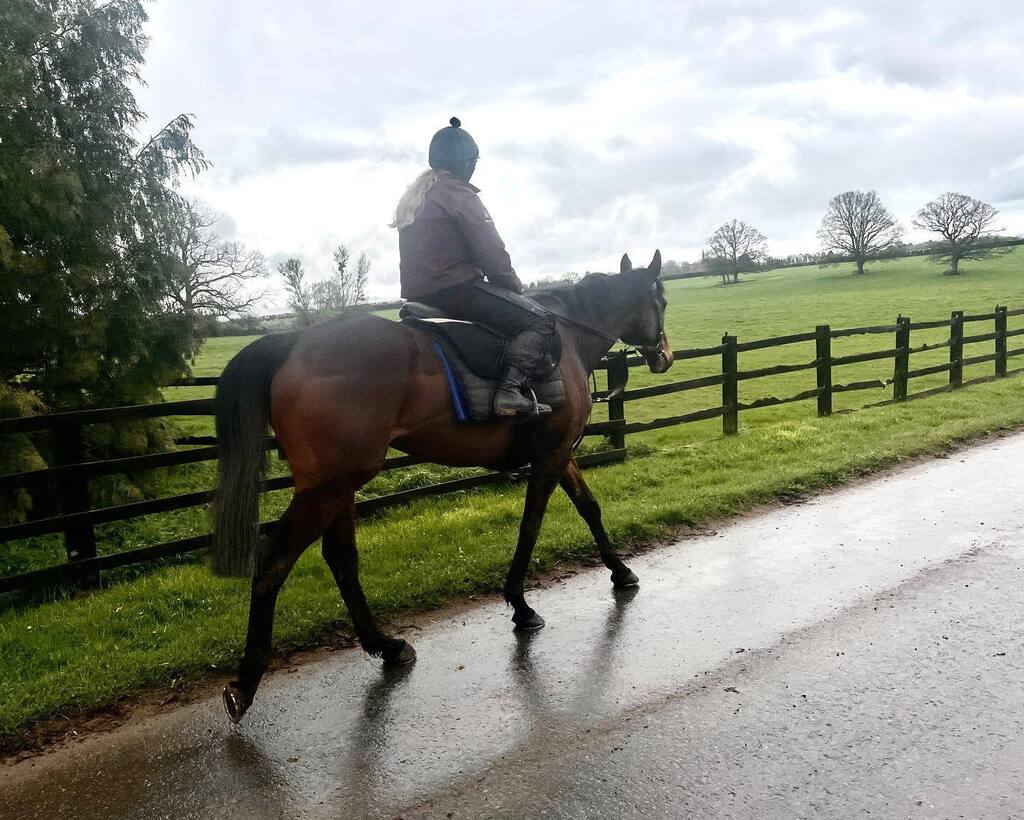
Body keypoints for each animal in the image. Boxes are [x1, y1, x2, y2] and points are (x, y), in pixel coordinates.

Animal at [209, 246, 671, 720]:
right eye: (663, 302)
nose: (664, 356)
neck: (570, 336)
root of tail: (293, 342)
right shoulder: (551, 456)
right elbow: (531, 527)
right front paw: (520, 605)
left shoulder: (559, 454)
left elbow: (589, 507)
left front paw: (620, 571)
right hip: (327, 489)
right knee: (273, 563)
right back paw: (246, 682)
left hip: (340, 486)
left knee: (341, 559)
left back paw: (386, 646)